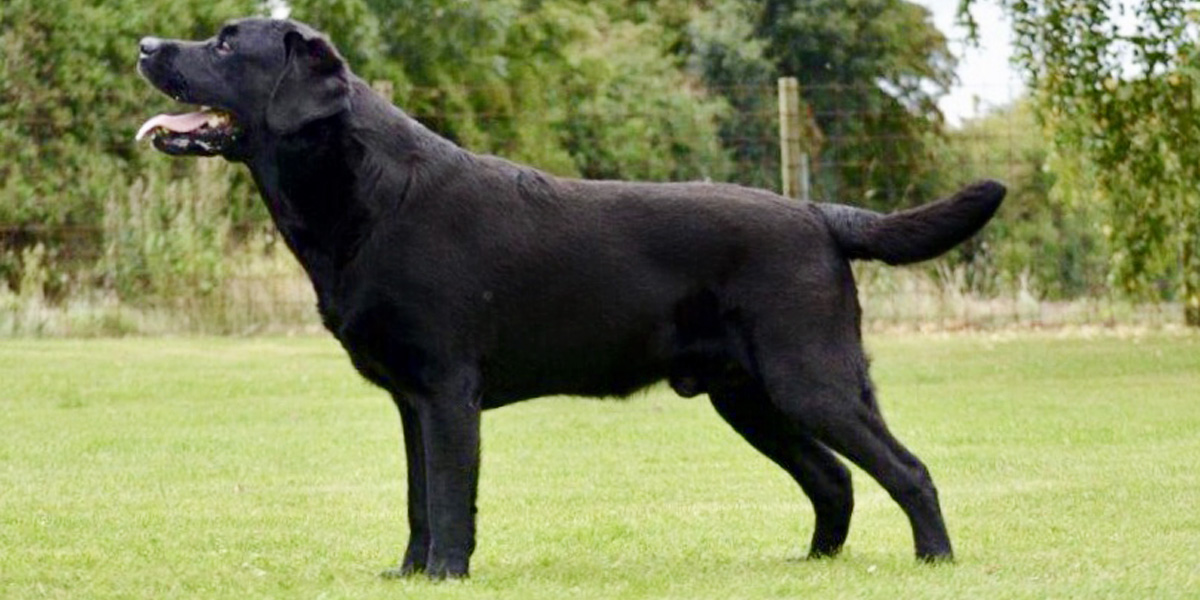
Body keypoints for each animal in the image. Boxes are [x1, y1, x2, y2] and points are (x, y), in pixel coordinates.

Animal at [138, 18, 1003, 578]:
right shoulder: (411, 399)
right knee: (835, 479)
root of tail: (821, 214)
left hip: (810, 377)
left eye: (225, 44)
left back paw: (935, 560)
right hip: (749, 396)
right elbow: (418, 500)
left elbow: (448, 500)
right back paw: (813, 564)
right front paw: (410, 574)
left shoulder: (447, 390)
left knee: (907, 469)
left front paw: (445, 575)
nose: (147, 46)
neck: (370, 195)